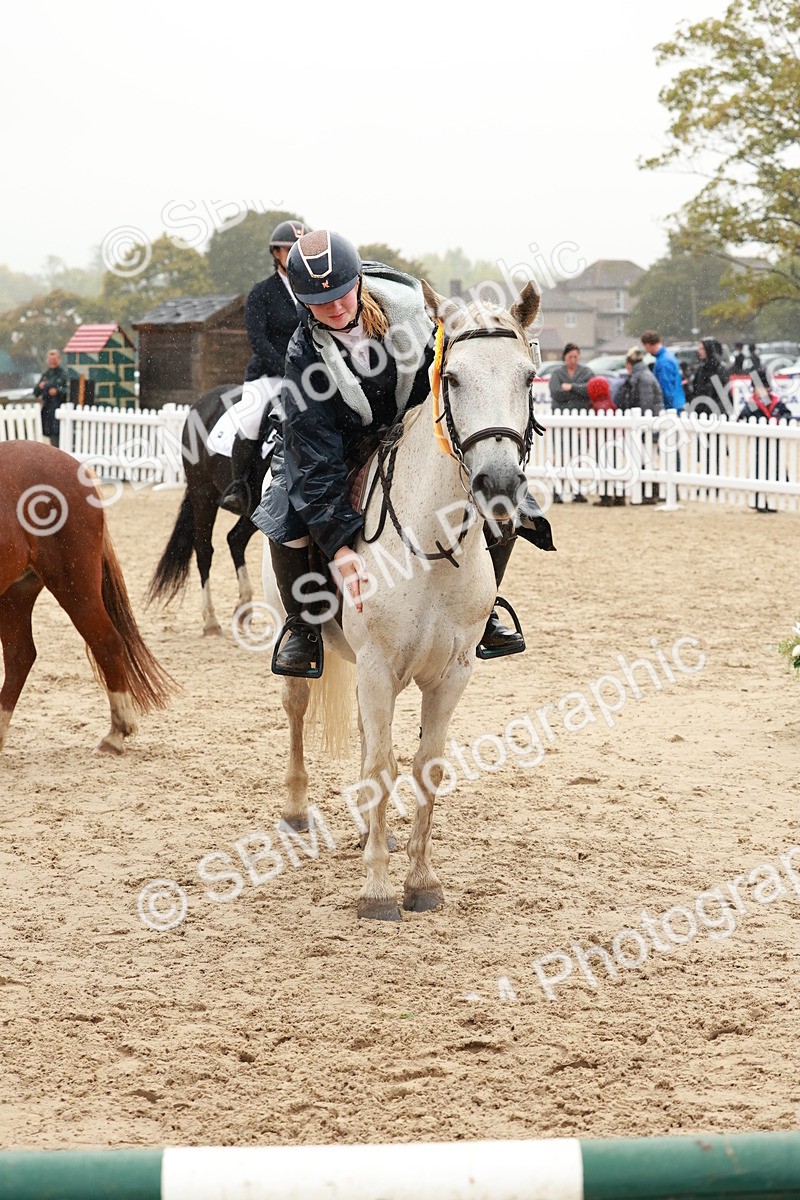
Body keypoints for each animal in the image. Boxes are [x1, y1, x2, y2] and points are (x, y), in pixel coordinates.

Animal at [262, 279, 542, 920]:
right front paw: (377, 891)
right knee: (297, 711)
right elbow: (379, 769)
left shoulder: (451, 674)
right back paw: (297, 811)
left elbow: (422, 766)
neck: (431, 545)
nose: (498, 486)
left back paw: (377, 834)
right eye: (453, 378)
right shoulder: (376, 667)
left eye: (527, 377)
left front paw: (419, 880)